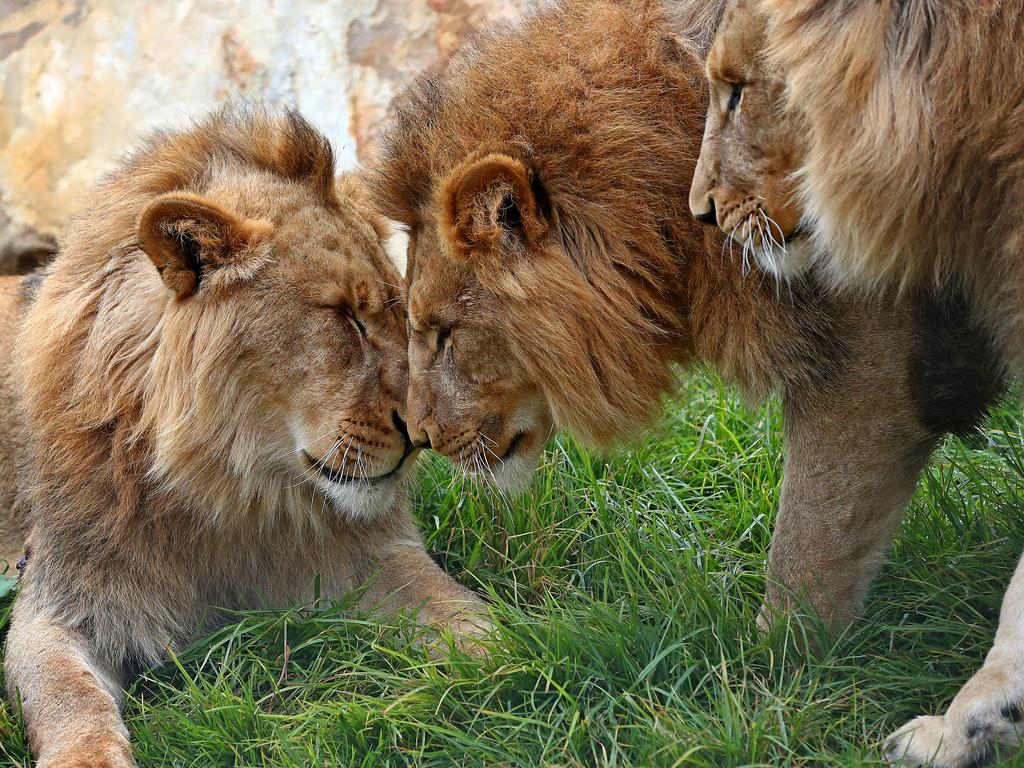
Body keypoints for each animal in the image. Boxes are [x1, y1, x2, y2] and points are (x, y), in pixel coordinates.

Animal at [2, 108, 485, 768]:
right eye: (346, 316)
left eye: (397, 313)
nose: (422, 435)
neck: (231, 491)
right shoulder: (58, 602)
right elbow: (67, 698)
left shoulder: (372, 555)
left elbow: (457, 610)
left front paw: (528, 650)